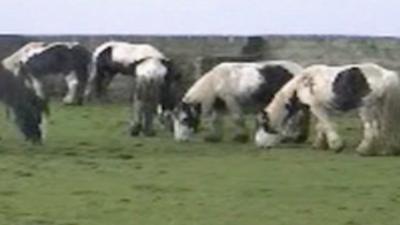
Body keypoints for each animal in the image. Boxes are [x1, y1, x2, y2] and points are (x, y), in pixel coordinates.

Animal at [172, 61, 310, 142]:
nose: (179, 139)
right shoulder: (219, 105)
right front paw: (214, 137)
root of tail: (300, 69)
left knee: (298, 118)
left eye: (184, 119)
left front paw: (241, 137)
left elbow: (237, 119)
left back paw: (295, 136)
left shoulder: (232, 102)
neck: (215, 82)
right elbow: (215, 121)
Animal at [255, 62, 400, 156]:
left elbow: (327, 124)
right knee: (386, 129)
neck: (302, 83)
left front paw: (337, 146)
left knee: (372, 129)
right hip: (381, 108)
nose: (260, 144)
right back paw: (388, 150)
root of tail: (386, 75)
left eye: (264, 124)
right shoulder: (322, 107)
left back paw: (363, 150)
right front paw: (320, 145)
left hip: (367, 109)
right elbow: (321, 126)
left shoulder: (316, 106)